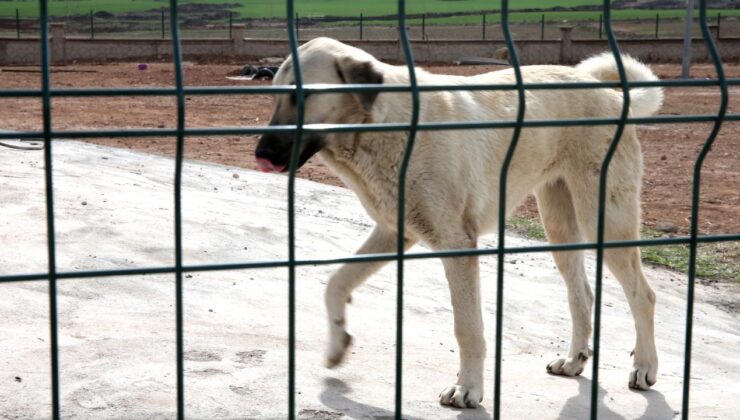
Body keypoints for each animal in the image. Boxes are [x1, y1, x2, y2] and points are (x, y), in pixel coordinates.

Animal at [256, 37, 664, 408]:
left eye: (302, 97)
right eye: (274, 96)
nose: (260, 154)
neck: (383, 126)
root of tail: (608, 93)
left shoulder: (457, 245)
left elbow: (467, 328)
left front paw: (467, 389)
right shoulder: (394, 232)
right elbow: (336, 282)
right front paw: (337, 344)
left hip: (605, 219)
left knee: (642, 295)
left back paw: (645, 368)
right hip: (561, 226)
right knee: (582, 294)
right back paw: (574, 359)